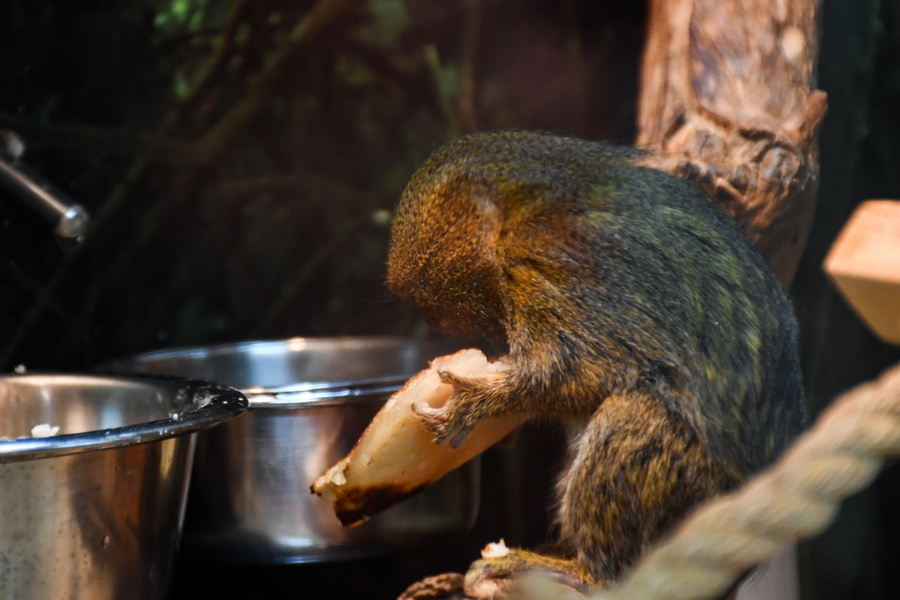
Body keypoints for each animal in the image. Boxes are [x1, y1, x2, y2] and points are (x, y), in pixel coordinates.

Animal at [386, 130, 806, 590]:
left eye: (434, 309)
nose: (432, 321)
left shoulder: (550, 261)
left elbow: (583, 372)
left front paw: (479, 404)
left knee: (633, 411)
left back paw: (581, 572)